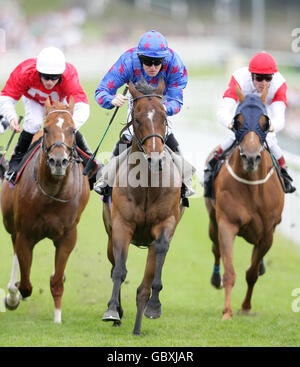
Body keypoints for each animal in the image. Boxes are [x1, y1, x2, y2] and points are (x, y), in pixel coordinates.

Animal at [1, 99, 90, 324]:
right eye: (47, 128)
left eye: (72, 130)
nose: (58, 161)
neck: (51, 193)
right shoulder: (25, 234)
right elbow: (26, 284)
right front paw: (14, 295)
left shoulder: (68, 236)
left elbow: (57, 281)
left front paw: (57, 318)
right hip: (11, 224)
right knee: (15, 253)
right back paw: (12, 293)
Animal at [102, 80, 184, 336]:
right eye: (137, 119)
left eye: (164, 117)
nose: (156, 160)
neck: (147, 184)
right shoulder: (122, 226)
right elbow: (119, 270)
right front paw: (112, 310)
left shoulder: (165, 225)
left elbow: (159, 257)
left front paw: (154, 306)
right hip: (110, 235)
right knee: (114, 266)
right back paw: (118, 312)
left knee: (145, 281)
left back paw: (138, 325)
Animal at [205, 85, 284, 320]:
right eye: (238, 120)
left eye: (264, 121)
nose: (250, 157)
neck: (252, 187)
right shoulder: (227, 224)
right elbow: (230, 271)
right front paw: (227, 312)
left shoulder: (267, 233)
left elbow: (252, 273)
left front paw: (246, 306)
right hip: (213, 221)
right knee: (216, 249)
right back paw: (215, 278)